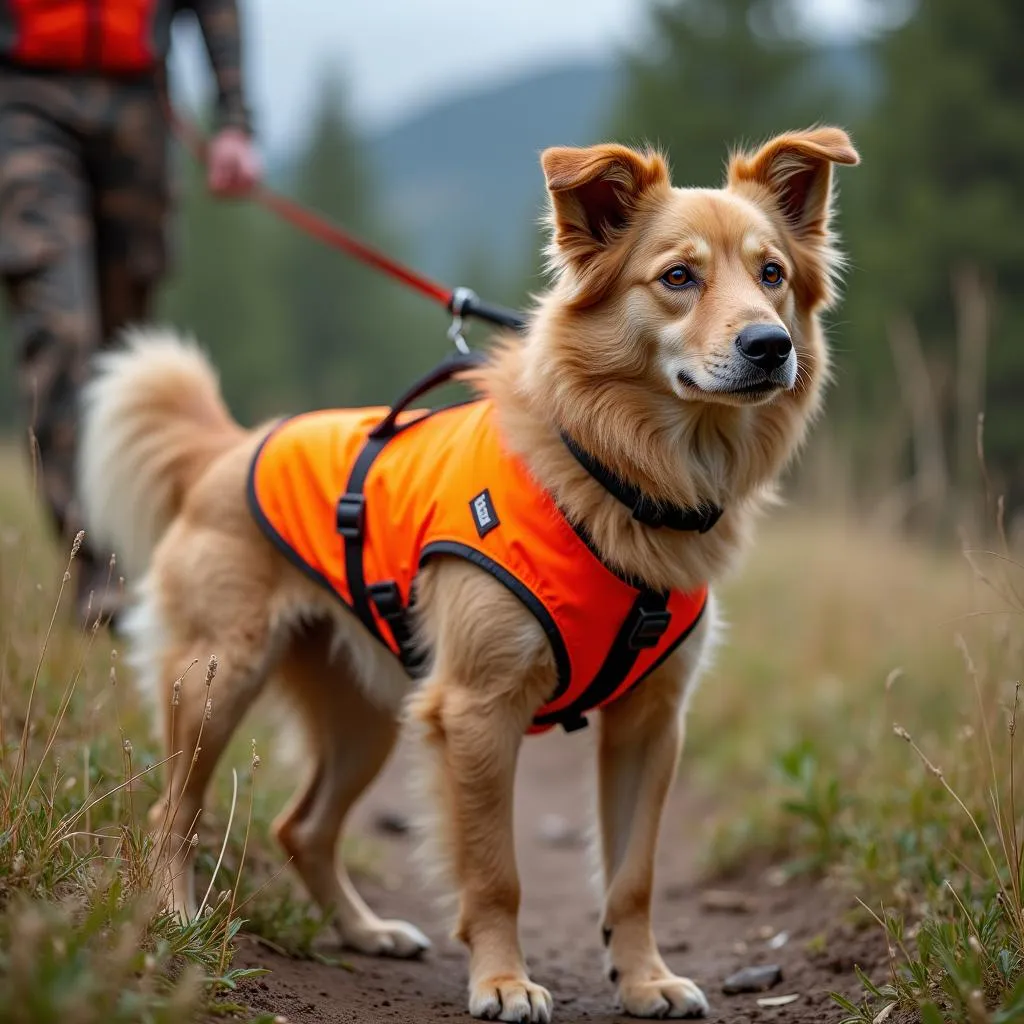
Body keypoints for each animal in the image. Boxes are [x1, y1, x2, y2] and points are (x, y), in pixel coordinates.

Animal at [75, 130, 856, 1024]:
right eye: (677, 278)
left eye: (773, 275)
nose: (770, 345)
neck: (615, 476)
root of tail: (232, 443)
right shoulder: (478, 711)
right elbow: (495, 873)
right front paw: (504, 981)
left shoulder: (650, 723)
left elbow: (633, 875)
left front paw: (644, 979)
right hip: (217, 679)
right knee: (173, 809)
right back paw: (176, 917)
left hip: (370, 712)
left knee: (301, 828)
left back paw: (367, 931)